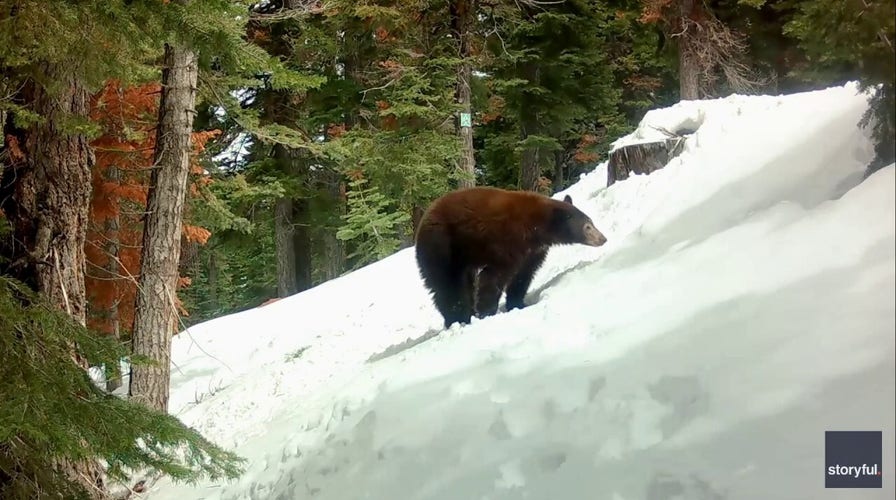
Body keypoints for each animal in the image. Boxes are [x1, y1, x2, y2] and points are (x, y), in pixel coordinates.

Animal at [414, 186, 607, 329]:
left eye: (591, 222)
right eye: (588, 226)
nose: (603, 239)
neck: (537, 226)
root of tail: (424, 219)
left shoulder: (533, 251)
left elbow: (524, 275)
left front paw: (518, 303)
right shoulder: (508, 241)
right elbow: (494, 275)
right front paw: (487, 312)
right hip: (443, 246)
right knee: (447, 283)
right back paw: (457, 317)